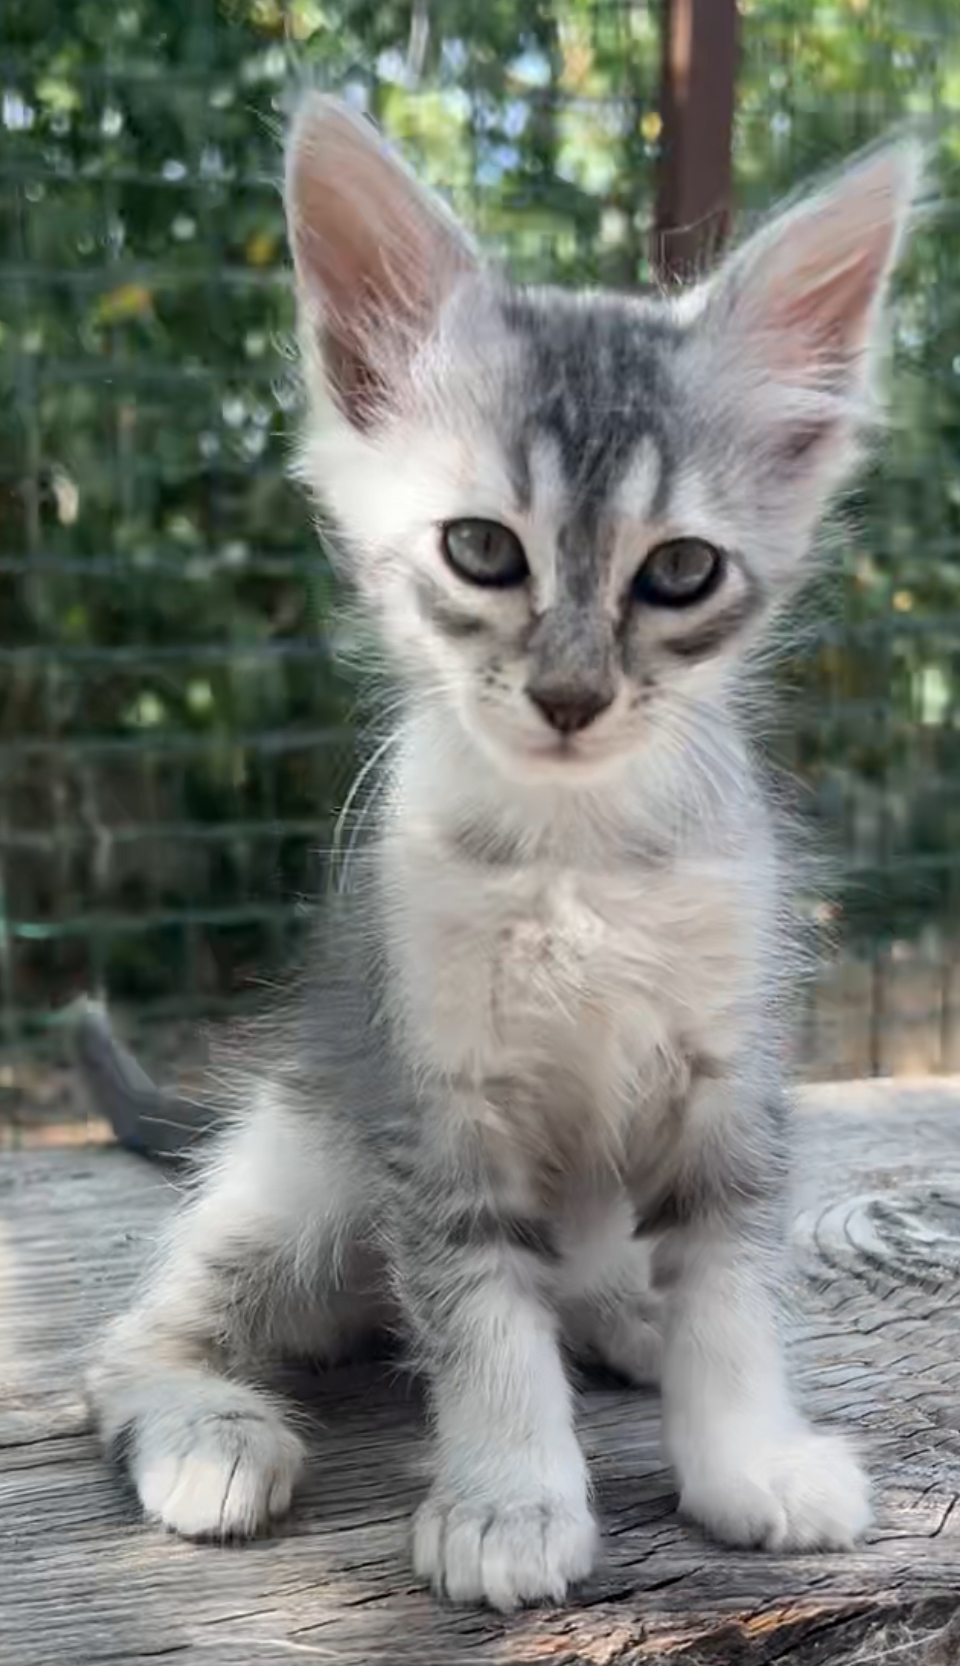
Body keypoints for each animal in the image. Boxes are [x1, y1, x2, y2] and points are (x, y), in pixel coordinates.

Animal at [84, 94, 919, 1611]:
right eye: (482, 549)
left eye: (681, 572)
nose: (572, 695)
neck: (577, 855)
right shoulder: (438, 1102)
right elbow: (479, 1312)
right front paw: (510, 1498)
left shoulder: (730, 1070)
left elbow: (732, 1279)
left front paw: (745, 1454)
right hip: (302, 1169)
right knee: (131, 1339)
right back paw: (207, 1428)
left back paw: (623, 1311)